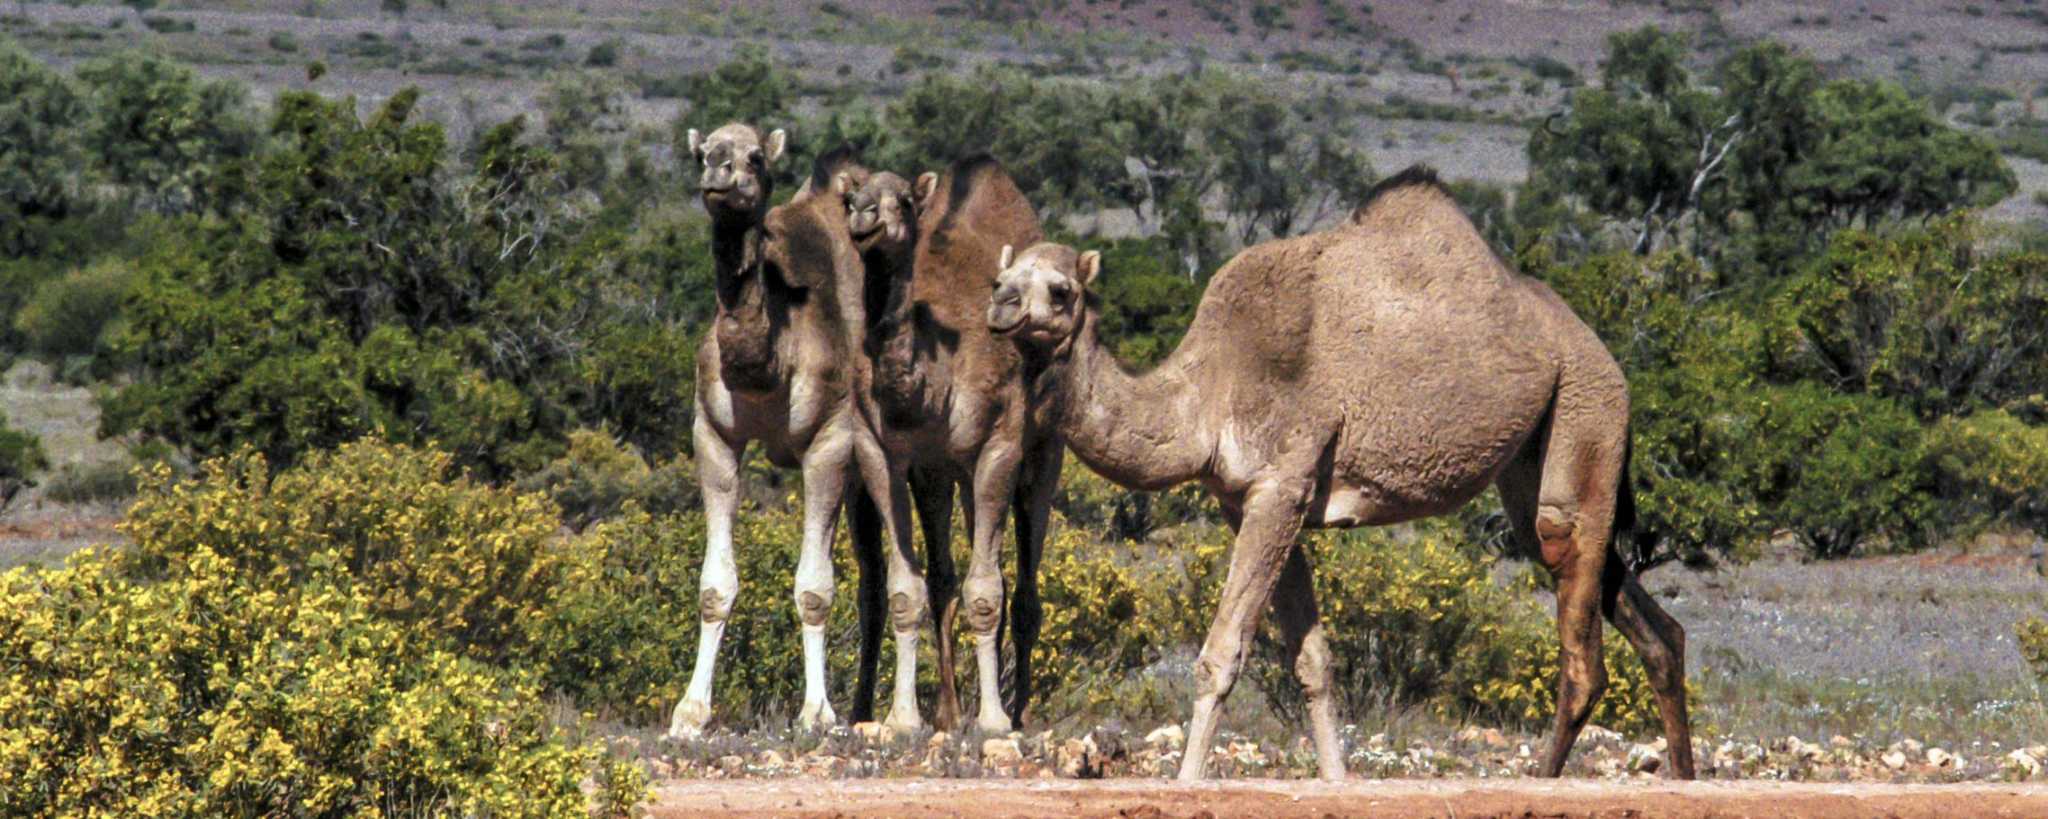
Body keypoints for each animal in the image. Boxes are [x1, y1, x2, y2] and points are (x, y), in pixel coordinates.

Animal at [667, 124, 925, 737]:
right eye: (701, 151)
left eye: (755, 157)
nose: (718, 173)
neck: (769, 362)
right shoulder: (713, 435)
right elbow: (714, 585)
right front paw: (690, 710)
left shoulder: (829, 441)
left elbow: (814, 587)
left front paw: (815, 712)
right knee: (875, 585)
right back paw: (865, 711)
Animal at [835, 156, 1064, 733]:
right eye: (849, 198)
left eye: (904, 201)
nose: (865, 218)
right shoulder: (884, 453)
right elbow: (906, 588)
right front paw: (904, 718)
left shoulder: (998, 449)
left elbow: (986, 593)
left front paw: (995, 721)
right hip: (942, 476)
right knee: (942, 579)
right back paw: (949, 712)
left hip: (1043, 455)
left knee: (1023, 588)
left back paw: (1020, 711)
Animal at [983, 164, 1687, 782]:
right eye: (1001, 277)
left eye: (1061, 291)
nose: (1002, 306)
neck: (1206, 394)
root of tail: (1602, 353)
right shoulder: (1249, 499)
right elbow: (1314, 663)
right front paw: (1334, 777)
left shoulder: (1282, 483)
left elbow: (1221, 656)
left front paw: (1185, 781)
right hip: (1534, 454)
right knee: (1656, 631)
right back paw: (1682, 771)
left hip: (1587, 407)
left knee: (1580, 641)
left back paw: (1546, 779)